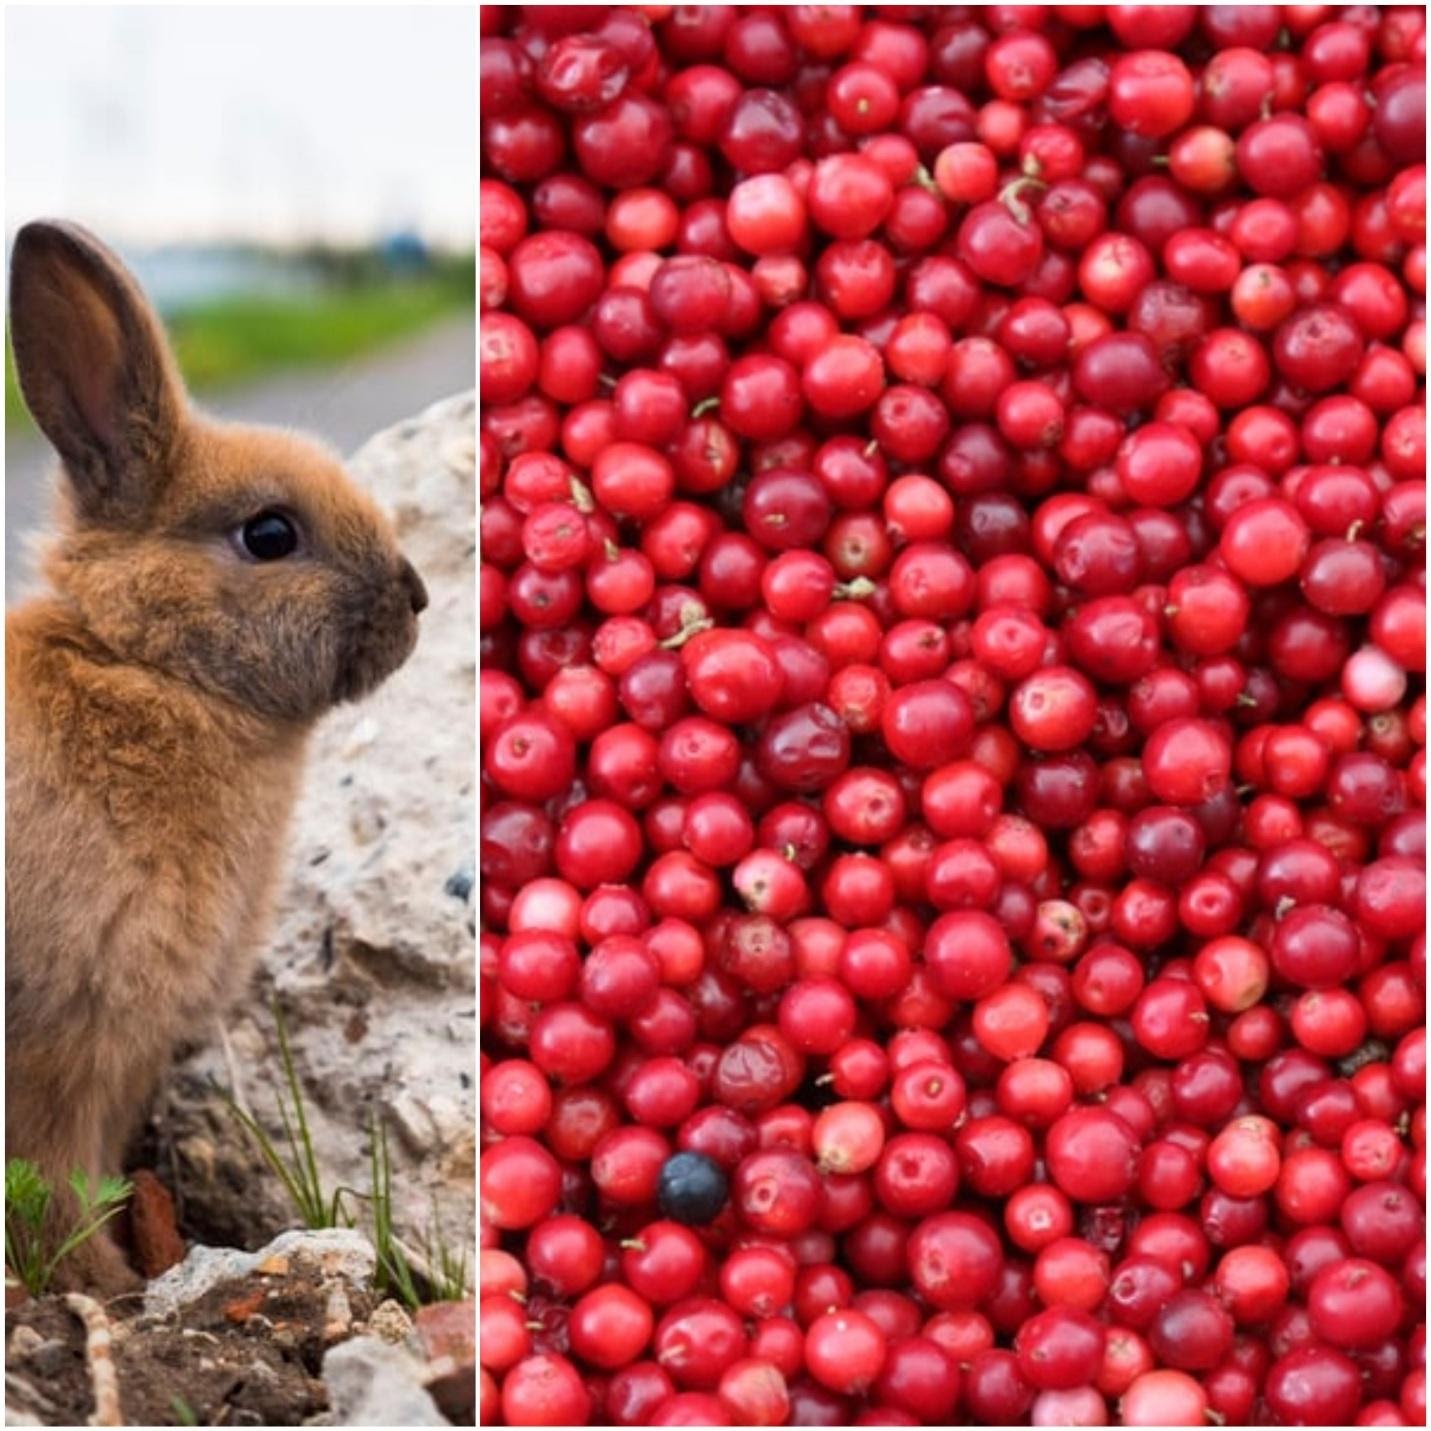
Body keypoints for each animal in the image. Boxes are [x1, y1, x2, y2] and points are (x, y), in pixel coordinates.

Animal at [5, 220, 429, 1293]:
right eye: (270, 533)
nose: (414, 596)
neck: (149, 667)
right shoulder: (67, 1037)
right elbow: (54, 1177)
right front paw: (107, 1285)